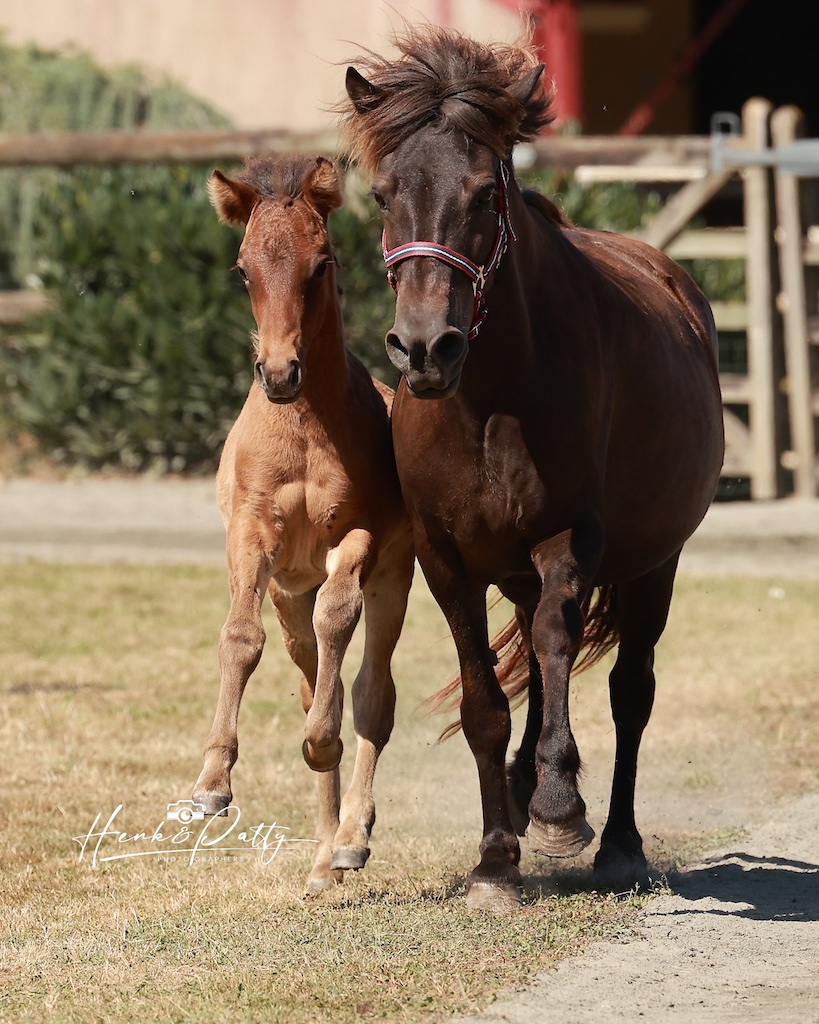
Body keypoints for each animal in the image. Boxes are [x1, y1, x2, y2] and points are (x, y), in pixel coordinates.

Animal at [189, 153, 413, 897]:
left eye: (322, 263)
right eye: (242, 269)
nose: (280, 372)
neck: (304, 426)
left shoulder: (360, 533)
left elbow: (339, 620)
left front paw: (319, 743)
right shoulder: (252, 533)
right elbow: (239, 638)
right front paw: (211, 784)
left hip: (396, 577)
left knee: (370, 693)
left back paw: (348, 840)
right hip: (289, 595)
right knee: (315, 676)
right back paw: (320, 857)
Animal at [341, 28, 724, 913]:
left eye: (485, 194)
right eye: (380, 196)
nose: (423, 349)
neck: (491, 398)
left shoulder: (567, 538)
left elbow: (557, 647)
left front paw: (555, 808)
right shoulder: (445, 559)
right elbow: (485, 699)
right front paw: (494, 860)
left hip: (653, 565)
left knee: (626, 690)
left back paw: (614, 841)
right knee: (540, 676)